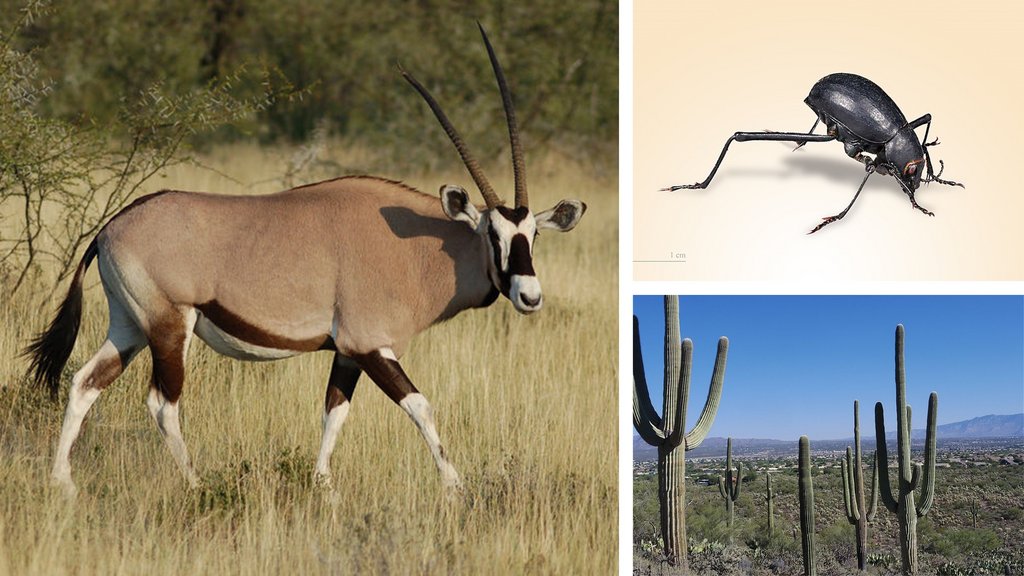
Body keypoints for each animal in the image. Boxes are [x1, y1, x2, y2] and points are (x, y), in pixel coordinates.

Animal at [28, 24, 585, 496]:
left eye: (533, 234)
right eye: (492, 233)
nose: (530, 296)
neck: (416, 248)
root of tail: (109, 227)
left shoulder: (348, 352)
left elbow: (333, 413)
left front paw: (323, 486)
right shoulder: (372, 346)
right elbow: (420, 407)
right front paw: (455, 486)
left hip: (129, 326)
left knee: (84, 383)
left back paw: (62, 482)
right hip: (169, 326)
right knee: (163, 404)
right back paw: (196, 483)